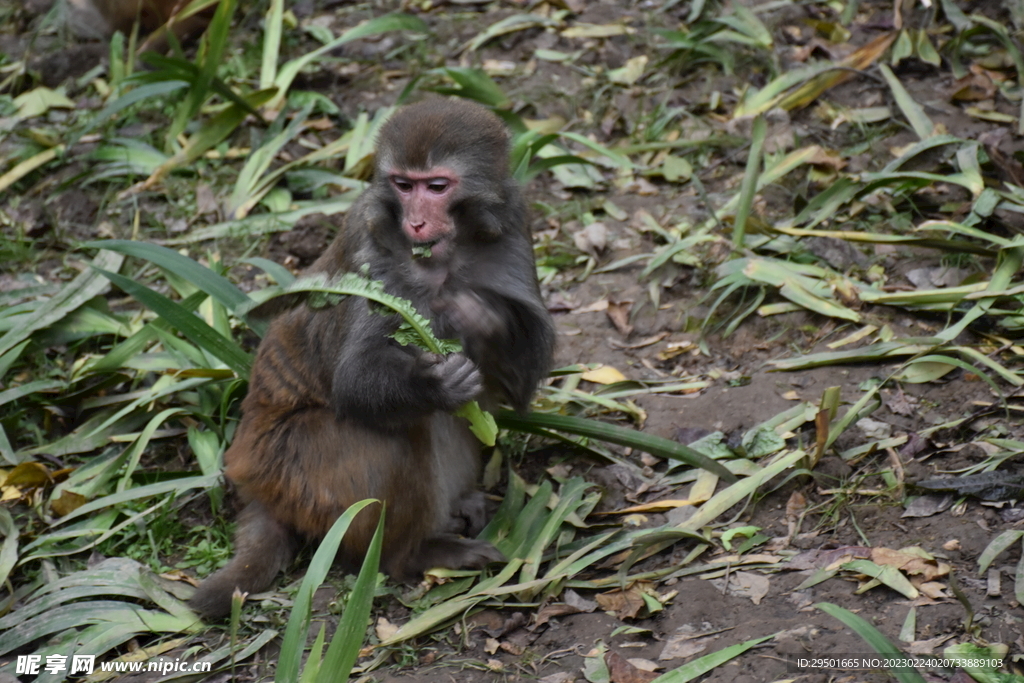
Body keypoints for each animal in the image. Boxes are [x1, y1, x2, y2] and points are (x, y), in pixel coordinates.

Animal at [190, 97, 561, 618]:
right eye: (404, 185)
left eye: (437, 186)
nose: (417, 222)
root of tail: (251, 479)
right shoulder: (373, 254)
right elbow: (355, 379)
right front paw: (435, 383)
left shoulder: (512, 225)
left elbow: (519, 386)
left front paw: (485, 316)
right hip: (293, 469)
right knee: (394, 437)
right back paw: (414, 554)